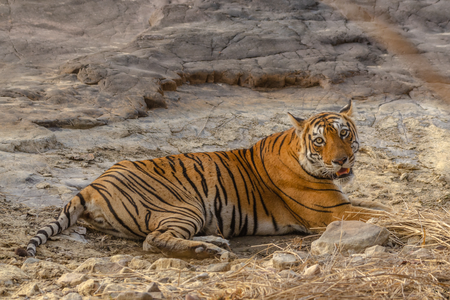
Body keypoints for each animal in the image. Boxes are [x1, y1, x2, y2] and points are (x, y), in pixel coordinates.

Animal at [19, 100, 388, 258]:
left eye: (344, 133)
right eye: (320, 141)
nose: (342, 160)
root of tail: (91, 186)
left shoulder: (342, 201)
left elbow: (381, 205)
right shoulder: (332, 211)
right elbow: (382, 214)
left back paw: (214, 242)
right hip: (185, 207)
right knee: (153, 240)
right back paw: (204, 250)